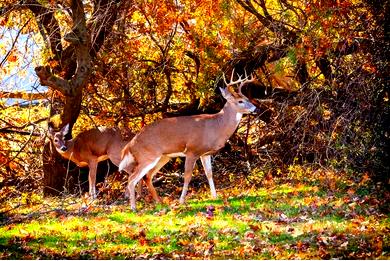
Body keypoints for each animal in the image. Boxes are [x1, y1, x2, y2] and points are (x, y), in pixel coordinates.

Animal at [120, 70, 258, 209]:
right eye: (240, 101)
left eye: (247, 98)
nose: (255, 108)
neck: (216, 126)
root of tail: (131, 144)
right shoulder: (192, 150)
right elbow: (187, 176)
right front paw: (181, 200)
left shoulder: (205, 153)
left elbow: (209, 173)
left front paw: (215, 196)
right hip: (147, 156)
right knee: (132, 178)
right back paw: (133, 207)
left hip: (163, 157)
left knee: (147, 176)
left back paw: (160, 202)